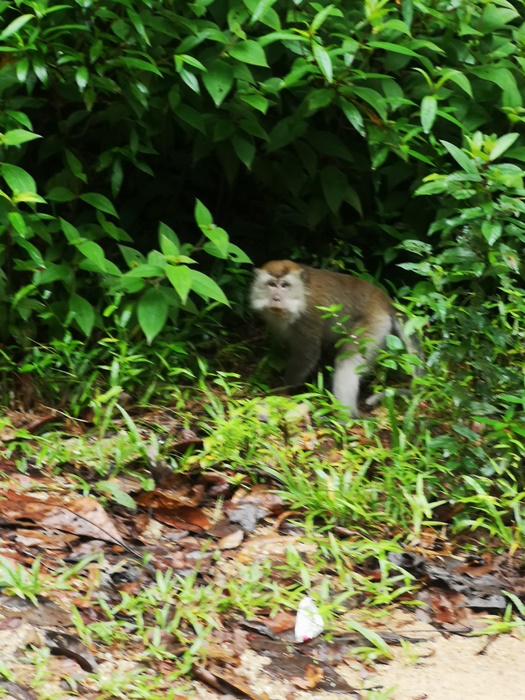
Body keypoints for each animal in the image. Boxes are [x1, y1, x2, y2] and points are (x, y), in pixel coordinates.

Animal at [250, 260, 418, 417]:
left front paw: (284, 388)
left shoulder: (307, 317)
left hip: (373, 325)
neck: (301, 294)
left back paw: (346, 417)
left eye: (284, 285)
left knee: (347, 363)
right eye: (271, 284)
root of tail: (385, 300)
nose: (276, 298)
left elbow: (307, 355)